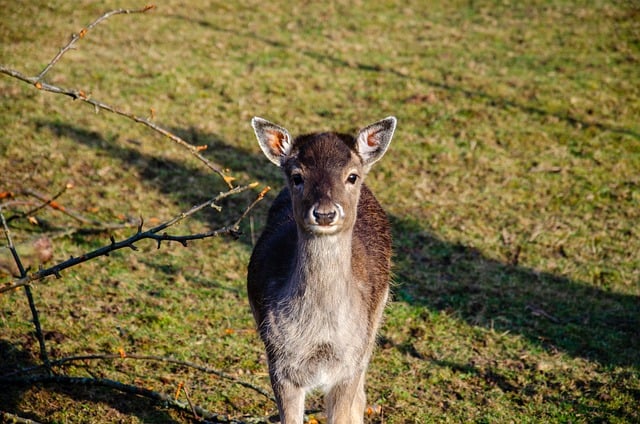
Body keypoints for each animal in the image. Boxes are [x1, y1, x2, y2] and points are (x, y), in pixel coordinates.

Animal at [247, 116, 396, 423]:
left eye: (351, 176)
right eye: (297, 176)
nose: (325, 213)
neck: (319, 335)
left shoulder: (348, 364)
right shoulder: (279, 362)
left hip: (372, 328)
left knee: (360, 399)